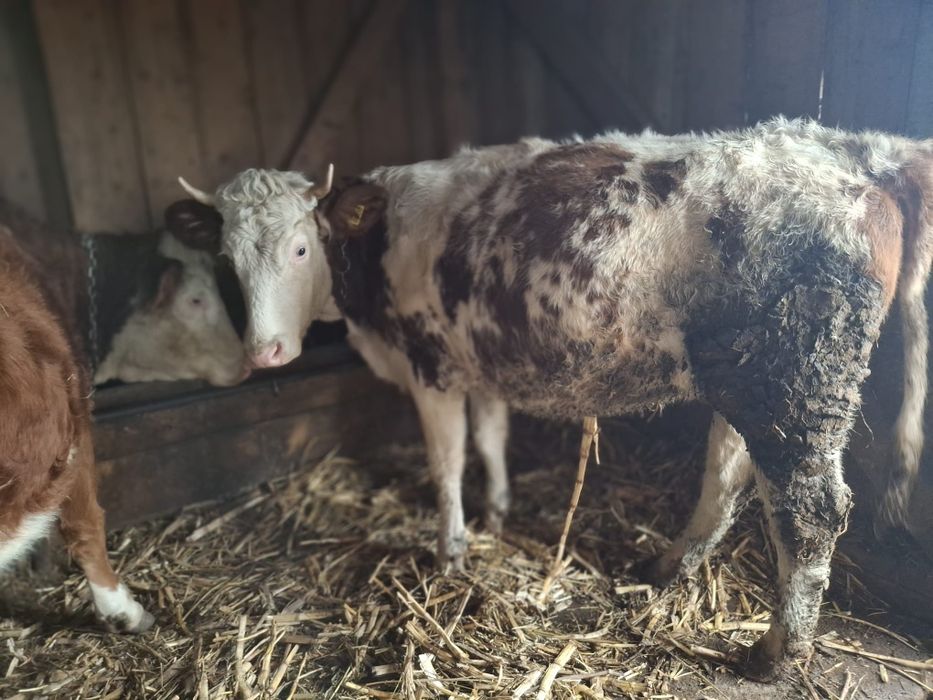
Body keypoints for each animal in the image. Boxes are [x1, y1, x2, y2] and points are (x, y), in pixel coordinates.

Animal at [174, 117, 933, 679]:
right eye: (227, 261)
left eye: (303, 249)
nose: (264, 352)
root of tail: (858, 148)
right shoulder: (477, 363)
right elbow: (489, 439)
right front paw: (498, 510)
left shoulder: (430, 365)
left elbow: (445, 464)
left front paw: (451, 553)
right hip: (747, 376)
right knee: (727, 477)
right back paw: (666, 568)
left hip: (799, 383)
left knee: (810, 512)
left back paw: (776, 652)